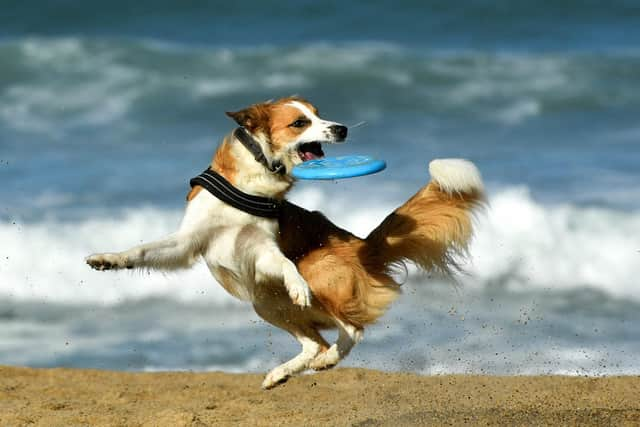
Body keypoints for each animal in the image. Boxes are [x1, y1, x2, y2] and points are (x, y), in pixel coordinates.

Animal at [86, 98, 484, 392]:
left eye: (319, 115)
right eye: (299, 123)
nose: (341, 128)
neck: (255, 176)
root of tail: (363, 245)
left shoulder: (264, 248)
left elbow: (286, 264)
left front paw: (296, 285)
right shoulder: (189, 241)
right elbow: (142, 251)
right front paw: (108, 259)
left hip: (316, 274)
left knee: (349, 329)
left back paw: (325, 355)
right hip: (264, 302)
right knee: (315, 342)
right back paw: (283, 372)